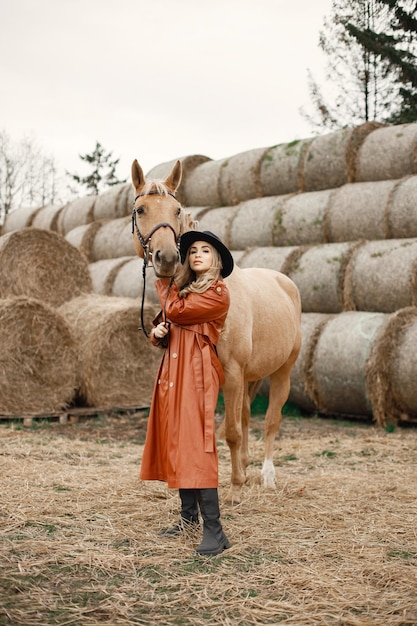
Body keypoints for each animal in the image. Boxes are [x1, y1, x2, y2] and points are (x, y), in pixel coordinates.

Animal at [132, 157, 300, 502]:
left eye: (177, 210)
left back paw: (266, 475)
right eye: (141, 209)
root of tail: (285, 283)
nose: (167, 258)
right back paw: (248, 468)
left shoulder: (233, 373)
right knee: (247, 415)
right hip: (252, 377)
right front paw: (235, 478)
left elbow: (231, 432)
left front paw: (234, 489)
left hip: (282, 373)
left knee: (270, 421)